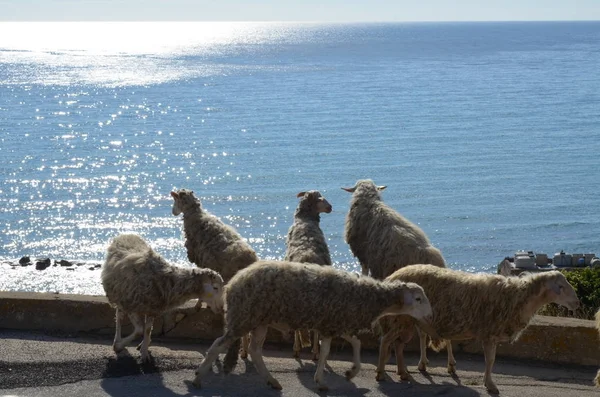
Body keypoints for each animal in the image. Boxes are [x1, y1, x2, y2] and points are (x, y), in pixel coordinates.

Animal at [102, 232, 224, 362]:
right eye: (215, 287)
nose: (222, 307)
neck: (168, 281)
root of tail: (127, 234)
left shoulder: (152, 308)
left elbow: (147, 329)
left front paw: (144, 351)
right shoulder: (133, 305)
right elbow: (140, 330)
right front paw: (120, 346)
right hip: (120, 295)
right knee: (119, 316)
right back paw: (117, 341)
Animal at [192, 260, 432, 390]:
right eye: (418, 299)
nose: (431, 316)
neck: (369, 297)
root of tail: (234, 282)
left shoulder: (338, 323)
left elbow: (356, 343)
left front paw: (352, 372)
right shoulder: (330, 324)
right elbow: (326, 352)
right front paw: (321, 381)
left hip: (259, 320)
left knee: (255, 350)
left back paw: (272, 381)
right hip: (244, 316)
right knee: (218, 344)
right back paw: (198, 377)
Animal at [378, 262, 580, 392]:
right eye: (561, 286)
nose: (577, 302)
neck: (518, 297)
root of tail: (392, 277)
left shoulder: (492, 333)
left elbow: (490, 360)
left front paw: (486, 381)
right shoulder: (489, 333)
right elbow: (490, 360)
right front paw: (490, 385)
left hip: (406, 321)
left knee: (398, 345)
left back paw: (403, 373)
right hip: (400, 319)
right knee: (386, 342)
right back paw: (381, 373)